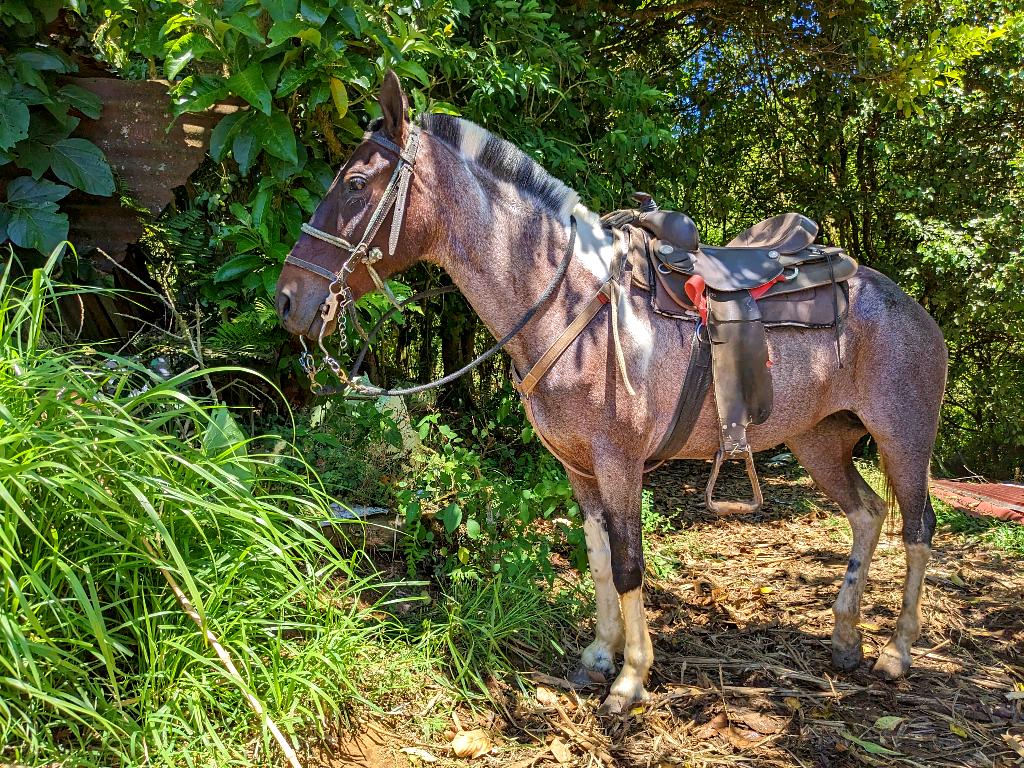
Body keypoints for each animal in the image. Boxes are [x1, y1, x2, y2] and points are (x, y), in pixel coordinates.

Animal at [276, 73, 946, 716]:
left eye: (355, 183)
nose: (287, 300)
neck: (571, 302)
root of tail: (911, 306)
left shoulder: (619, 462)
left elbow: (629, 563)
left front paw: (630, 680)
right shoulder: (578, 468)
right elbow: (598, 557)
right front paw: (600, 654)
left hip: (903, 437)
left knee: (918, 528)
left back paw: (897, 652)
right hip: (819, 441)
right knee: (868, 513)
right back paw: (845, 639)